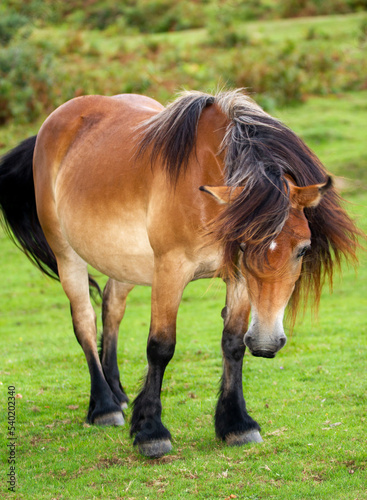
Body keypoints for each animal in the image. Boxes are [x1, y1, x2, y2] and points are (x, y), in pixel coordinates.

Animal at [0, 89, 362, 458]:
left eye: (303, 249)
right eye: (245, 245)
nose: (266, 342)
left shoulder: (238, 281)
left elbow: (233, 343)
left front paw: (236, 424)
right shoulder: (170, 269)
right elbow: (160, 347)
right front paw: (151, 432)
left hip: (124, 262)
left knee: (111, 310)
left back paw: (118, 393)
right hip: (67, 255)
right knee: (84, 322)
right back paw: (104, 406)